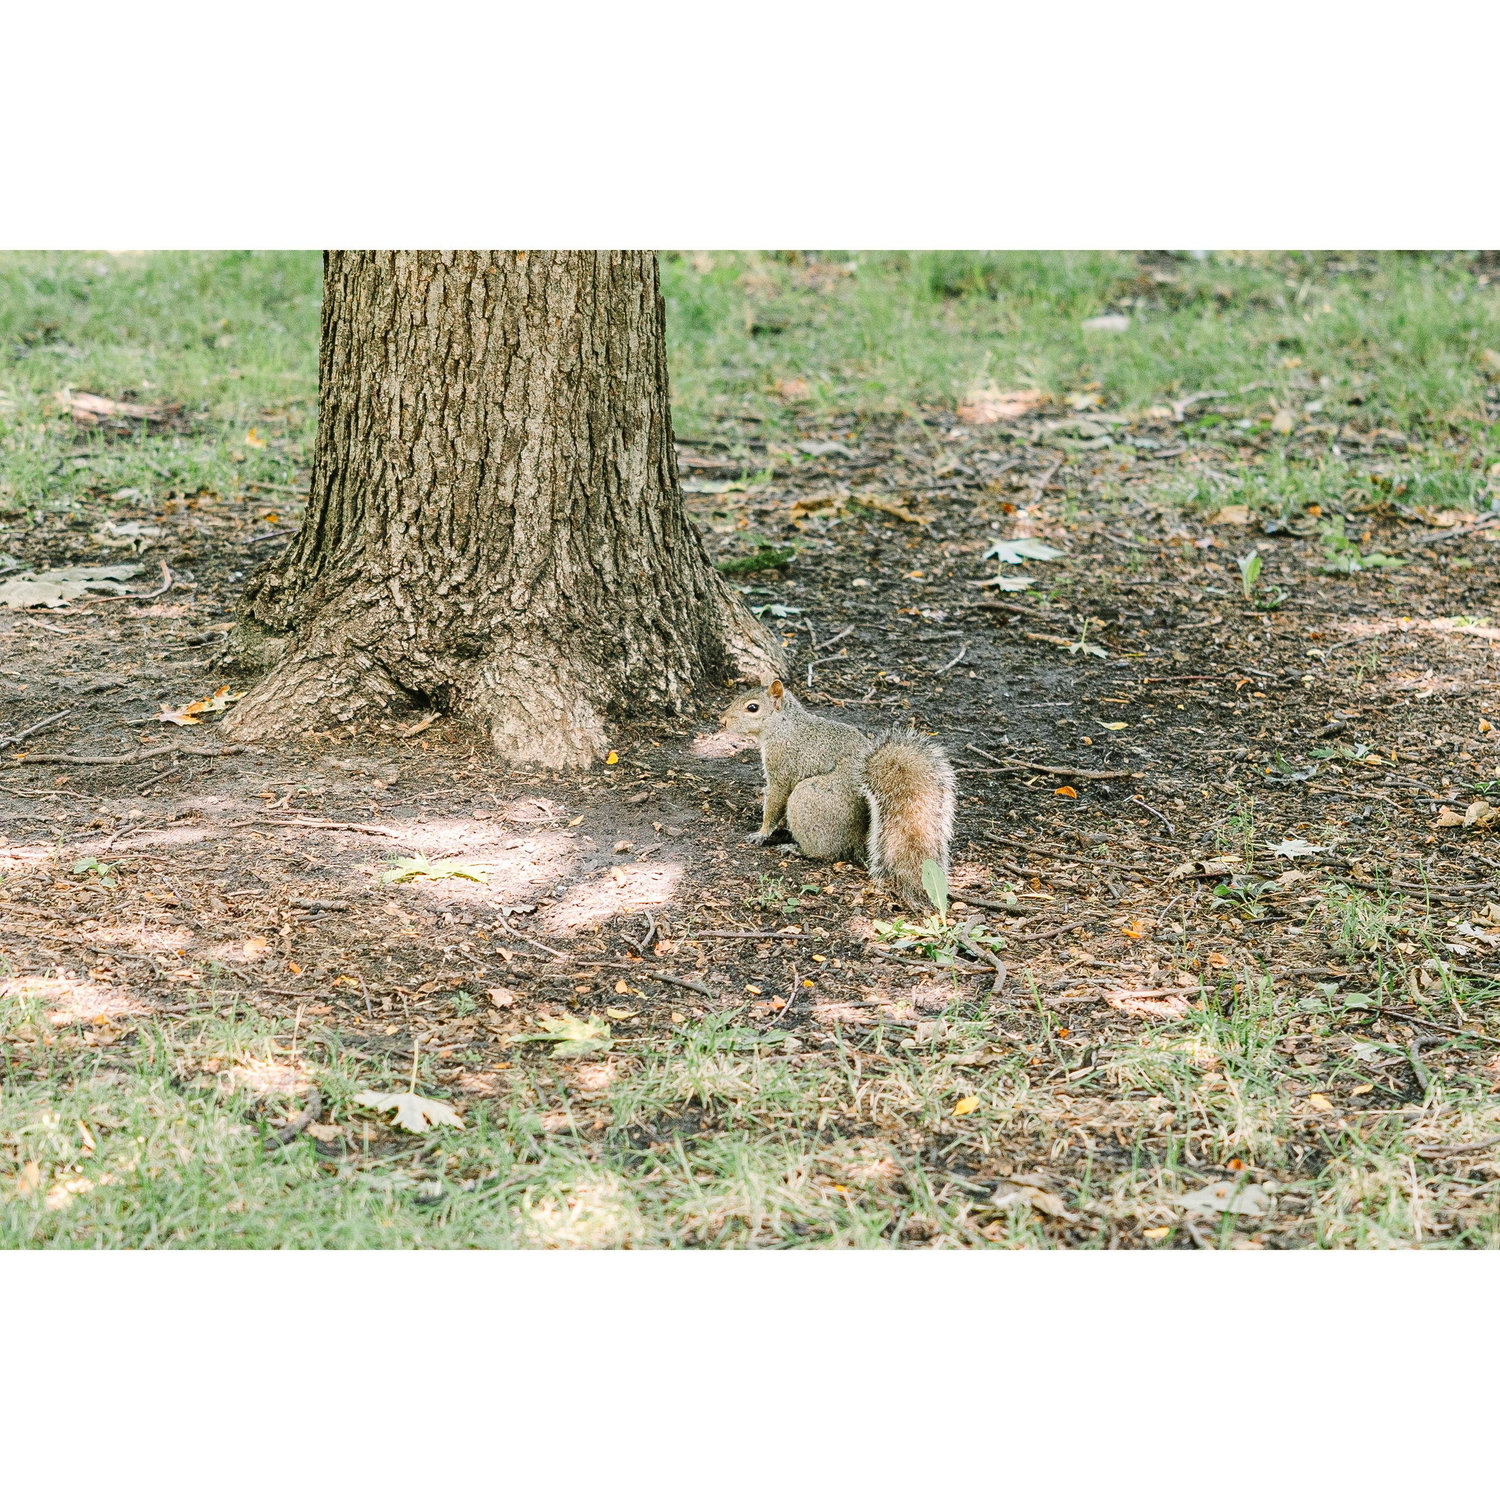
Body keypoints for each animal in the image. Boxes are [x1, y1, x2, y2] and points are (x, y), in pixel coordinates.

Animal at [720, 680, 955, 910]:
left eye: (752, 707)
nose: (723, 721)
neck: (783, 725)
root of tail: (858, 838)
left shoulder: (781, 768)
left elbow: (775, 802)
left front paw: (761, 833)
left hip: (806, 798)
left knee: (825, 852)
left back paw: (796, 849)